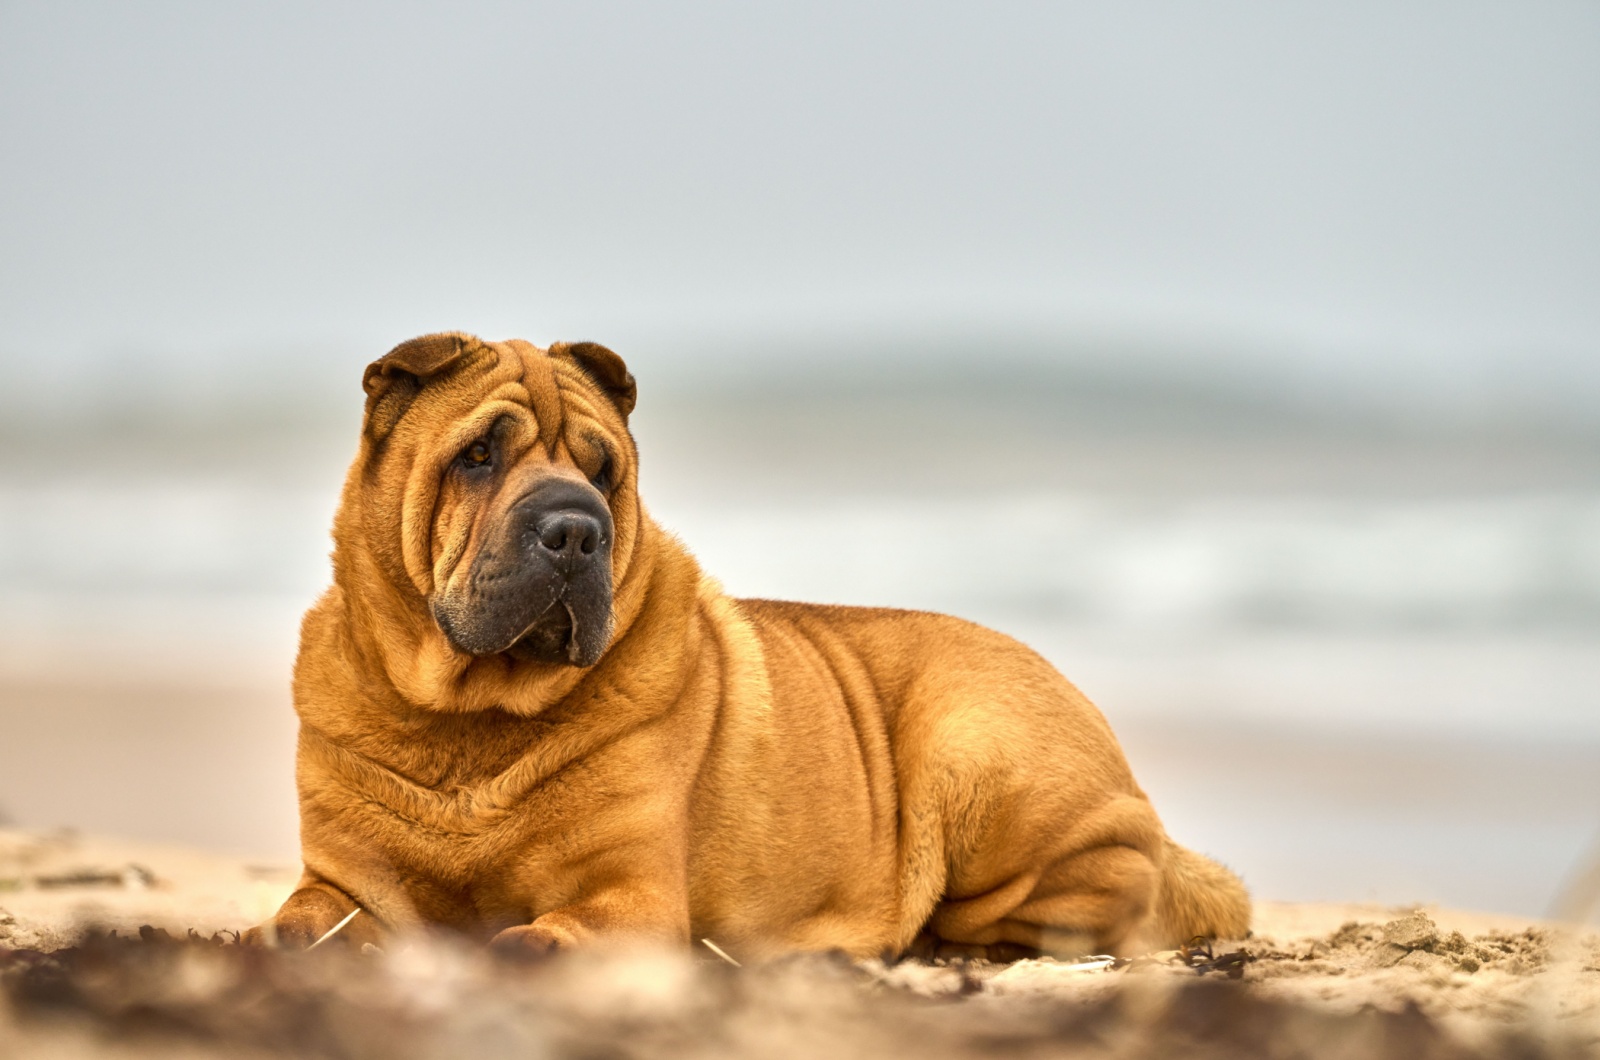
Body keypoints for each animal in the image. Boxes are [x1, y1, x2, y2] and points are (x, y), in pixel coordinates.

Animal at [252, 333, 1248, 960]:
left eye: (605, 471)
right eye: (477, 456)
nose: (578, 528)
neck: (468, 717)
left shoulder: (631, 892)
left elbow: (542, 937)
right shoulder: (345, 884)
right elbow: (302, 917)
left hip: (981, 755)